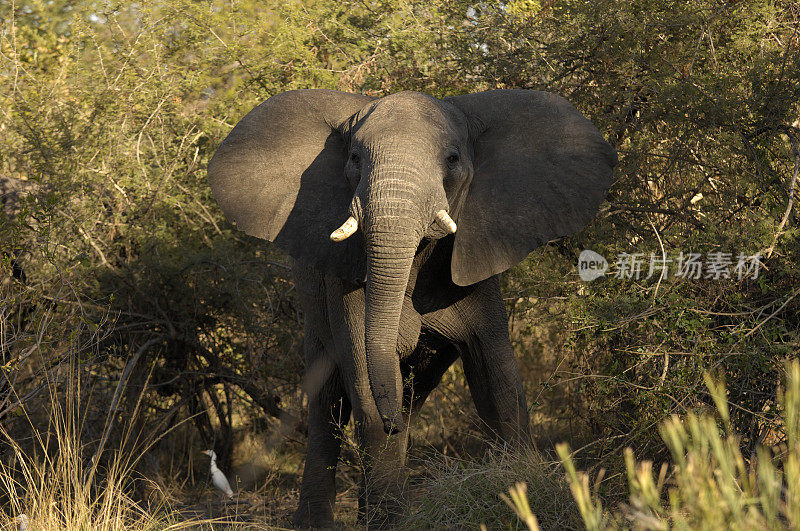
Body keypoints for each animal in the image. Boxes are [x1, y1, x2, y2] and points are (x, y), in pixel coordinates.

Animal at [205, 88, 612, 528]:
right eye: (355, 159)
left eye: (452, 159)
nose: (393, 425)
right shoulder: (346, 278)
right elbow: (365, 385)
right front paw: (390, 521)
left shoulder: (476, 265)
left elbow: (497, 376)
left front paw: (521, 488)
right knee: (328, 405)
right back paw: (322, 518)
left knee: (409, 395)